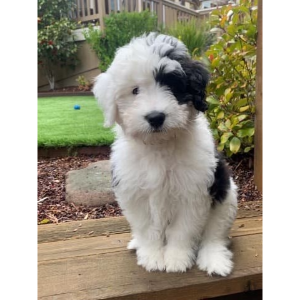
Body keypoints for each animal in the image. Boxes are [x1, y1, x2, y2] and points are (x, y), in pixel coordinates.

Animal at [92, 33, 238, 276]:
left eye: (172, 85)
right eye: (135, 90)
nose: (155, 117)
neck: (159, 146)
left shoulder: (193, 194)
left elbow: (182, 230)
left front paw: (176, 259)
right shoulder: (135, 195)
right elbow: (147, 230)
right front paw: (152, 257)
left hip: (226, 198)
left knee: (214, 235)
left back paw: (215, 260)